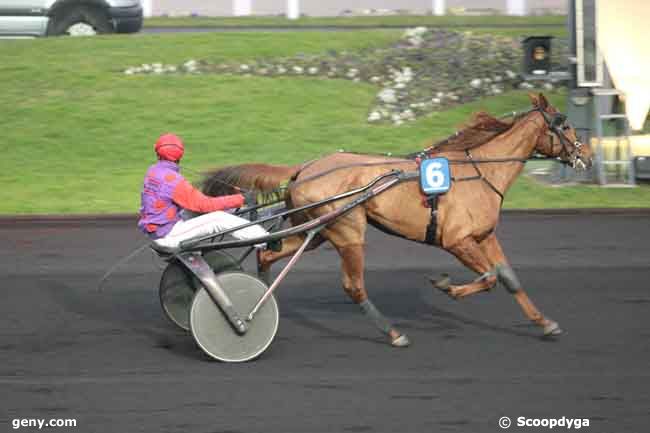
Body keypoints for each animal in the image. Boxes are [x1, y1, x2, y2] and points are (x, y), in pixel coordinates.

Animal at [204, 93, 592, 348]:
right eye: (566, 124)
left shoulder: (484, 236)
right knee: (353, 285)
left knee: (267, 253)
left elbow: (508, 278)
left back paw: (263, 294)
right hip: (347, 231)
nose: (586, 155)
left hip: (315, 232)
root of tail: (306, 168)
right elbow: (489, 277)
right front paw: (447, 286)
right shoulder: (457, 240)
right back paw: (393, 333)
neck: (480, 172)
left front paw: (545, 323)